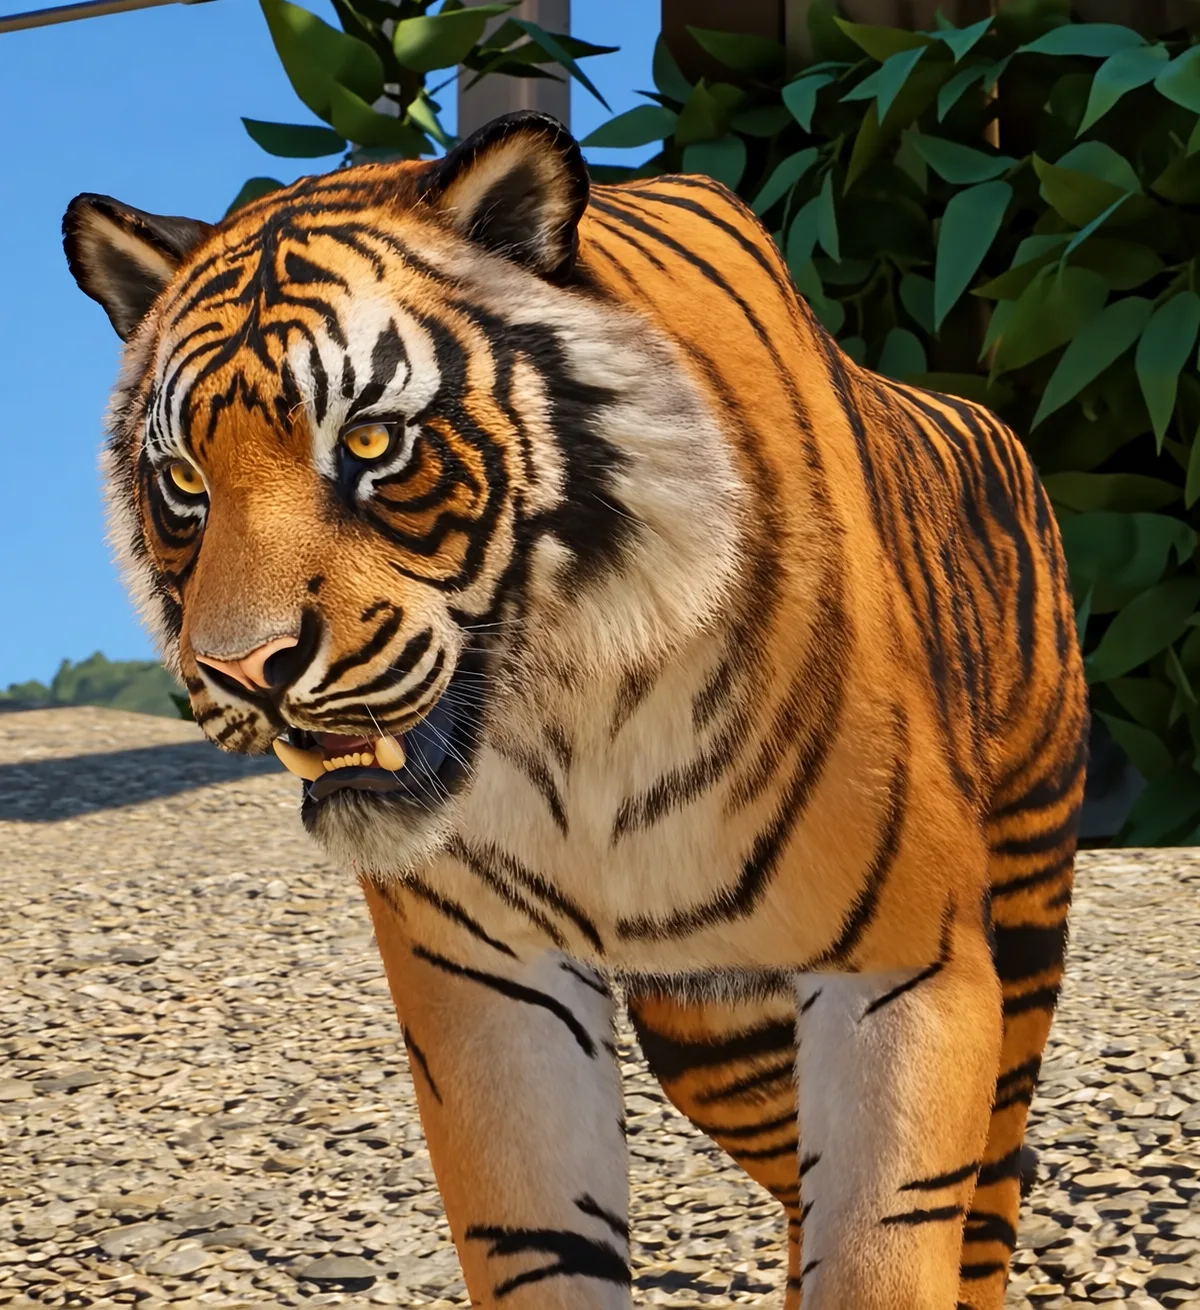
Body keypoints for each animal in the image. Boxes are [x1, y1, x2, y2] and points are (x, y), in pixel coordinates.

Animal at [63, 109, 1086, 1309]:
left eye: (368, 442)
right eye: (184, 479)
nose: (243, 669)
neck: (572, 720)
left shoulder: (902, 964)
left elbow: (887, 1237)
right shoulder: (483, 981)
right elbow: (540, 1233)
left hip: (1020, 899)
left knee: (985, 1186)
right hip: (714, 1029)